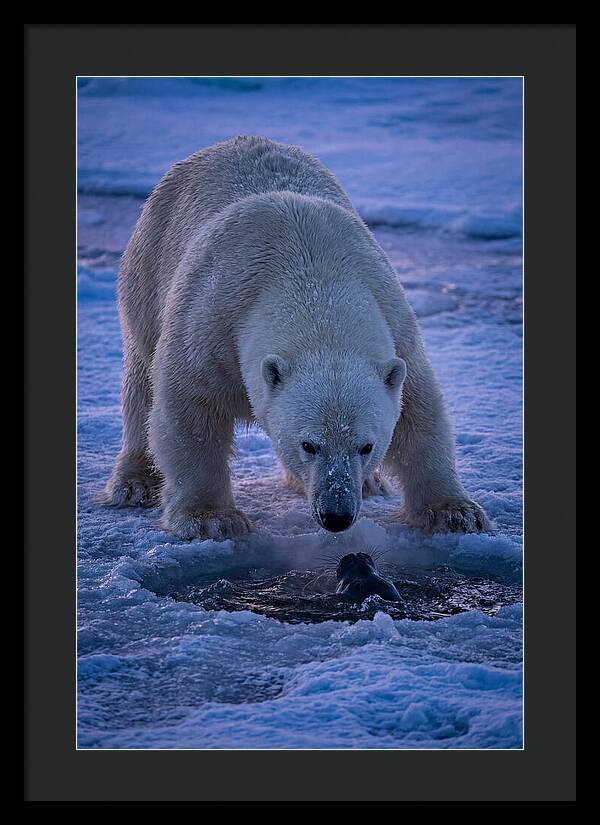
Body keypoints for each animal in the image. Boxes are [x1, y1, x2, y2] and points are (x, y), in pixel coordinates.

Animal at [104, 135, 491, 540]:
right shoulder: (212, 320)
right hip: (148, 267)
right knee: (141, 380)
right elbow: (190, 410)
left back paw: (371, 484)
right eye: (309, 444)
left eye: (366, 446)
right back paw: (135, 483)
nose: (337, 515)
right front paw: (211, 519)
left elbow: (419, 411)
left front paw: (457, 513)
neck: (311, 273)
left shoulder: (395, 323)